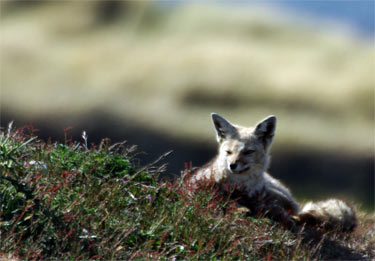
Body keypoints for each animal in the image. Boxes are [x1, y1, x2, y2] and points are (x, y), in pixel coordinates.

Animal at [192, 112, 356, 231]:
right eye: (228, 152)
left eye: (248, 152)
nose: (232, 165)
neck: (240, 187)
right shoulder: (199, 189)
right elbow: (222, 200)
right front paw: (238, 208)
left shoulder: (263, 200)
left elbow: (272, 210)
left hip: (279, 197)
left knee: (298, 212)